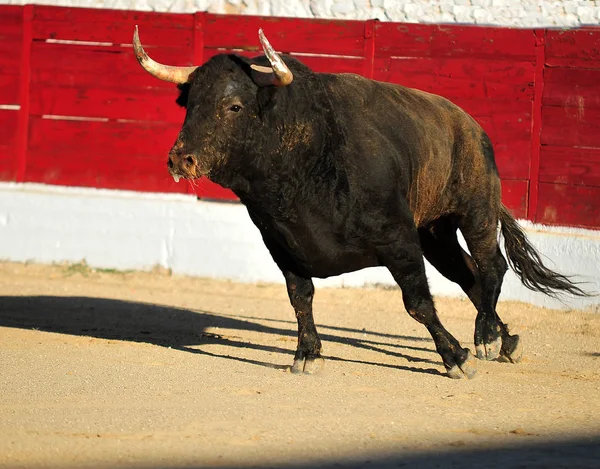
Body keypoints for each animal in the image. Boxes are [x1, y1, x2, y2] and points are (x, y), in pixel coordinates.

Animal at [131, 25, 584, 378]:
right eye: (189, 104)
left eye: (235, 106)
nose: (180, 158)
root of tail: (471, 126)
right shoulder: (281, 243)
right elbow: (300, 298)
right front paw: (307, 355)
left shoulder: (398, 240)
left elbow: (418, 303)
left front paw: (455, 358)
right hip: (435, 233)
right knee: (469, 276)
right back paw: (506, 343)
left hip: (475, 209)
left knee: (491, 266)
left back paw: (486, 338)